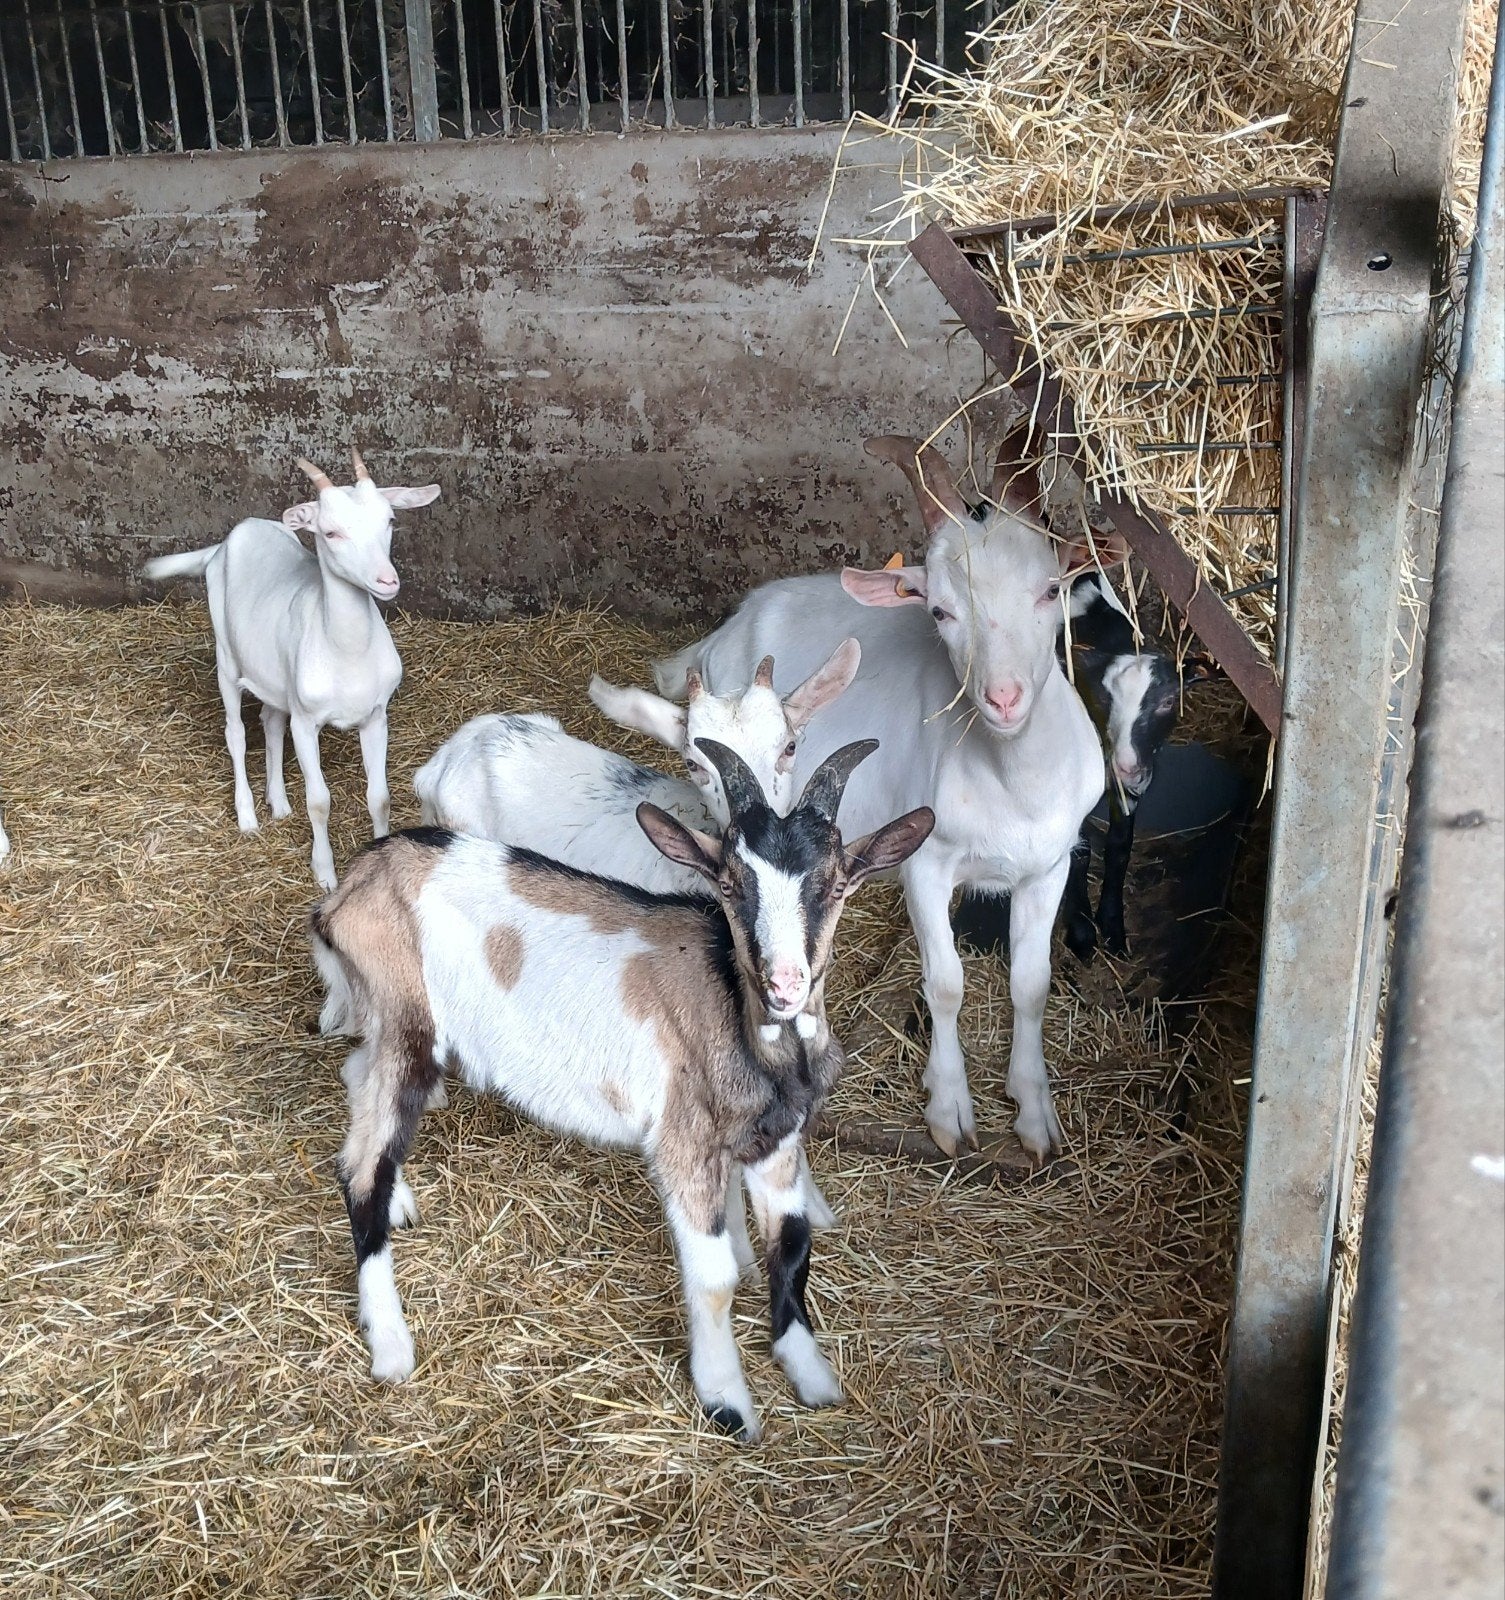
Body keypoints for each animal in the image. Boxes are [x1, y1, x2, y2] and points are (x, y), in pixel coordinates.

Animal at [142, 450, 440, 889]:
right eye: (331, 533)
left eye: (389, 520)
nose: (386, 581)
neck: (346, 652)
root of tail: (230, 538)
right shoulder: (306, 722)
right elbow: (319, 801)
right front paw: (325, 874)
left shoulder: (375, 716)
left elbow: (380, 797)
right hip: (226, 659)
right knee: (235, 732)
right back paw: (248, 816)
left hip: (276, 679)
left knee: (269, 720)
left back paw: (279, 803)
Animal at [311, 738, 934, 1442]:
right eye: (730, 884)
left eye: (833, 884)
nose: (784, 984)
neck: (738, 1013)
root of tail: (347, 893)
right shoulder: (683, 1142)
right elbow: (714, 1278)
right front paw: (727, 1402)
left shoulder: (777, 1140)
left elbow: (793, 1245)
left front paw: (811, 1374)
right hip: (406, 1023)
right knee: (363, 1167)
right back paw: (391, 1342)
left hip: (390, 1028)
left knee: (357, 1084)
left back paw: (400, 1205)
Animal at [654, 429, 1124, 1160]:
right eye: (939, 611)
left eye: (1051, 589)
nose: (1004, 698)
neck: (1012, 779)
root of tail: (731, 625)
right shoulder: (926, 865)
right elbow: (946, 983)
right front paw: (950, 1108)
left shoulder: (1049, 865)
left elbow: (1031, 983)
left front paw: (1035, 1113)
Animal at [1058, 572, 1214, 959]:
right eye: (1102, 698)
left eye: (1170, 701)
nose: (1128, 767)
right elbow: (1079, 849)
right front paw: (1082, 933)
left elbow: (1119, 848)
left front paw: (1113, 927)